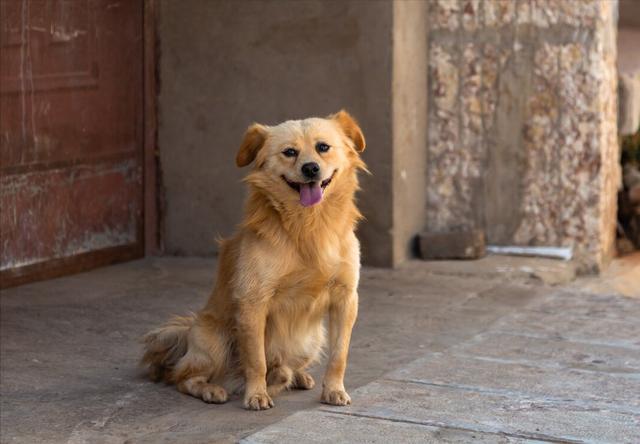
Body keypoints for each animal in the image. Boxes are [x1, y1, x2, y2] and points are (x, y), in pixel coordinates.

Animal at [142, 110, 368, 410]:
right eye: (290, 152)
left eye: (323, 147)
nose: (310, 168)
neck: (308, 226)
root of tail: (188, 331)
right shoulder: (253, 302)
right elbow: (256, 360)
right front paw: (257, 395)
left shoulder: (346, 298)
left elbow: (339, 355)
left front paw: (333, 390)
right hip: (215, 342)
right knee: (183, 377)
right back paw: (212, 389)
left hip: (312, 338)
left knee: (286, 366)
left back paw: (296, 376)